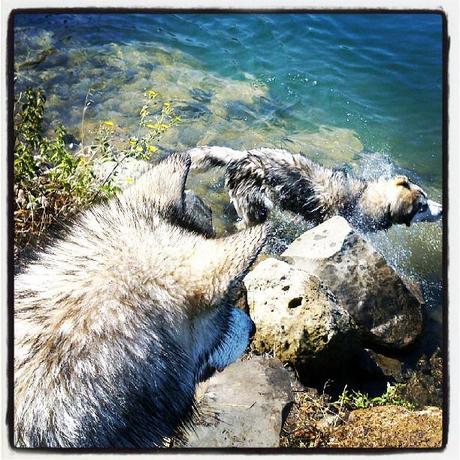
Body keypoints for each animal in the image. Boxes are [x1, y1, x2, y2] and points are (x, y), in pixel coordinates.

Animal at [187, 146, 442, 232]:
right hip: (255, 206)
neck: (363, 199)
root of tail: (241, 156)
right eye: (422, 207)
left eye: (426, 198)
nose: (442, 208)